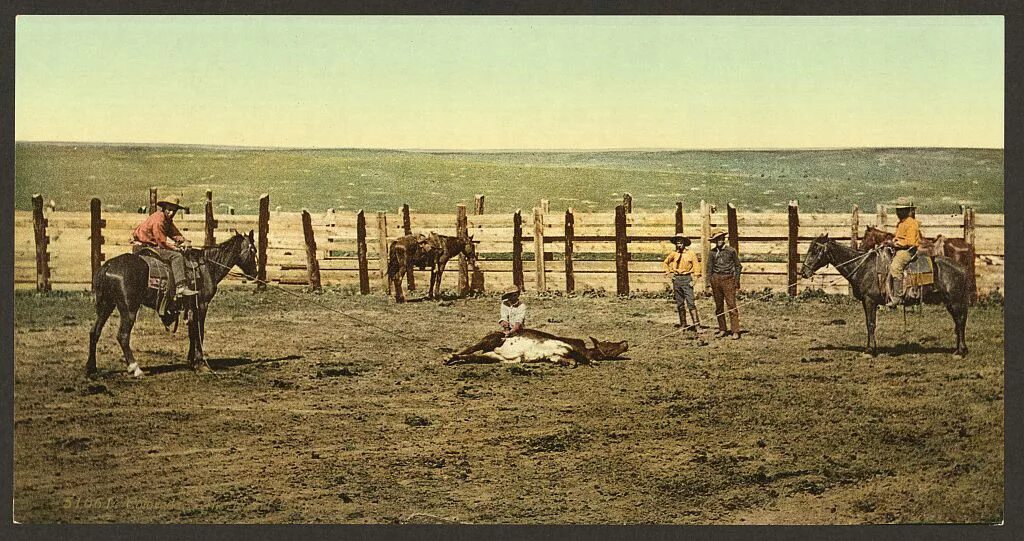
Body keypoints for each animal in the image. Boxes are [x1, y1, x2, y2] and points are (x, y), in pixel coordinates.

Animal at [87, 230, 260, 379]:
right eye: (253, 250)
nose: (254, 274)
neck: (207, 267)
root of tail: (107, 267)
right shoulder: (202, 304)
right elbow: (200, 332)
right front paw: (201, 364)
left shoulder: (191, 307)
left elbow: (192, 332)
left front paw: (191, 362)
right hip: (129, 309)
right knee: (123, 336)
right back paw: (136, 369)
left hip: (105, 305)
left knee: (94, 332)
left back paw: (91, 368)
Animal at [798, 233, 966, 356]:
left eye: (815, 250)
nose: (803, 272)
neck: (864, 267)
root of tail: (961, 267)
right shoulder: (866, 302)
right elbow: (870, 324)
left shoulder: (869, 301)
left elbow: (871, 324)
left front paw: (869, 350)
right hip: (950, 302)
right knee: (958, 322)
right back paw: (958, 350)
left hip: (955, 302)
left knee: (960, 321)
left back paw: (961, 352)